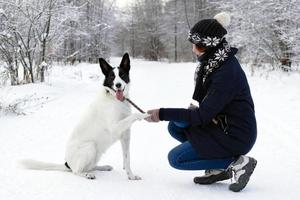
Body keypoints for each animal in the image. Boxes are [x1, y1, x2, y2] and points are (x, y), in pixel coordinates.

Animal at [19, 53, 148, 180]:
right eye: (112, 77)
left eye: (122, 75)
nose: (118, 85)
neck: (115, 99)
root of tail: (67, 164)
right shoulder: (114, 127)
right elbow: (133, 116)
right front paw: (144, 114)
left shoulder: (125, 136)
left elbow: (127, 159)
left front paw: (131, 175)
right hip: (90, 147)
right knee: (77, 171)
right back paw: (87, 175)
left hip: (96, 153)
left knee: (90, 166)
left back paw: (103, 167)